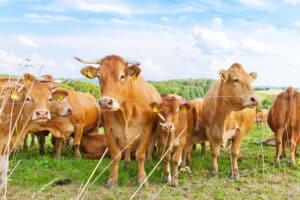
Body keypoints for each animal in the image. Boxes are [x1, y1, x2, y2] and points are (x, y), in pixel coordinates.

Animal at [76, 54, 161, 188]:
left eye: (122, 76)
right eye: (99, 76)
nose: (105, 102)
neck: (126, 112)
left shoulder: (146, 131)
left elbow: (140, 155)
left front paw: (142, 179)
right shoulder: (109, 131)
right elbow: (115, 155)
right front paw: (112, 179)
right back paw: (126, 163)